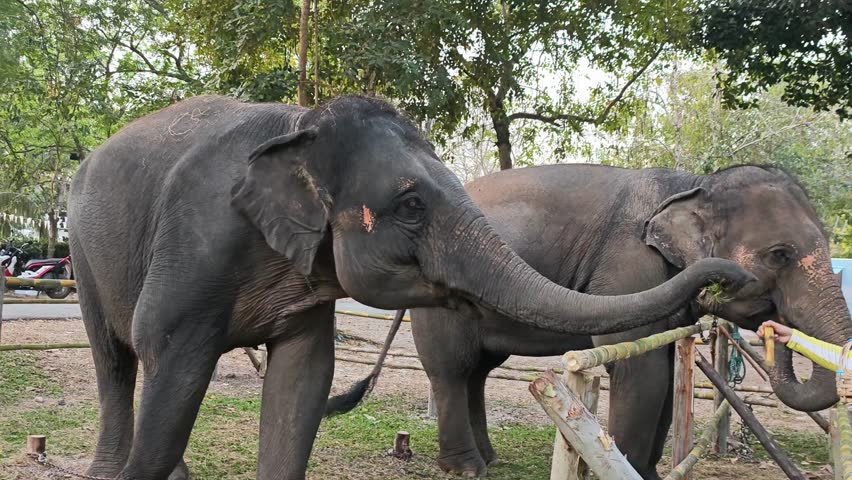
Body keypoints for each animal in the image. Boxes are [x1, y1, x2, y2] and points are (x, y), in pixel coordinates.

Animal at [68, 95, 752, 480]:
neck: (300, 124)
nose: (736, 274)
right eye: (413, 205)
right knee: (115, 359)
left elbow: (304, 378)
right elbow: (172, 356)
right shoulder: (194, 242)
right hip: (83, 251)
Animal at [350, 163, 852, 478]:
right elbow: (640, 372)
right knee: (453, 369)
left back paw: (488, 460)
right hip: (438, 300)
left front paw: (648, 473)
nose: (774, 327)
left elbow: (661, 369)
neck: (693, 183)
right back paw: (467, 468)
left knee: (478, 370)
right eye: (779, 254)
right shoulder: (627, 267)